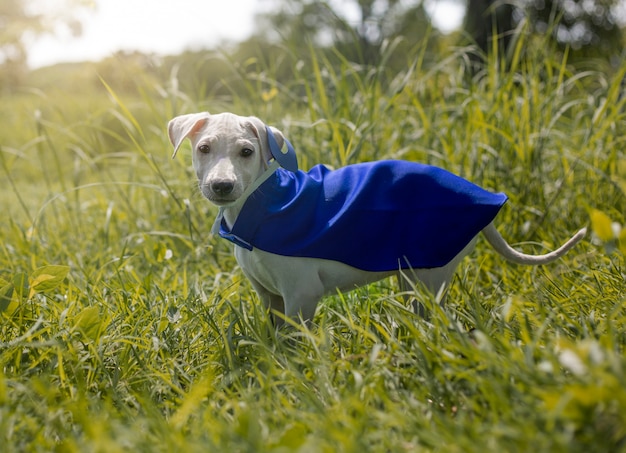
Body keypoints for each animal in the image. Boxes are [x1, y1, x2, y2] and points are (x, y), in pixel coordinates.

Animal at [167, 113, 584, 324]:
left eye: (247, 152)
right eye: (203, 148)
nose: (222, 186)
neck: (262, 204)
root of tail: (483, 200)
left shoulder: (301, 293)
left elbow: (296, 342)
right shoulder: (268, 295)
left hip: (429, 276)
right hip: (410, 277)